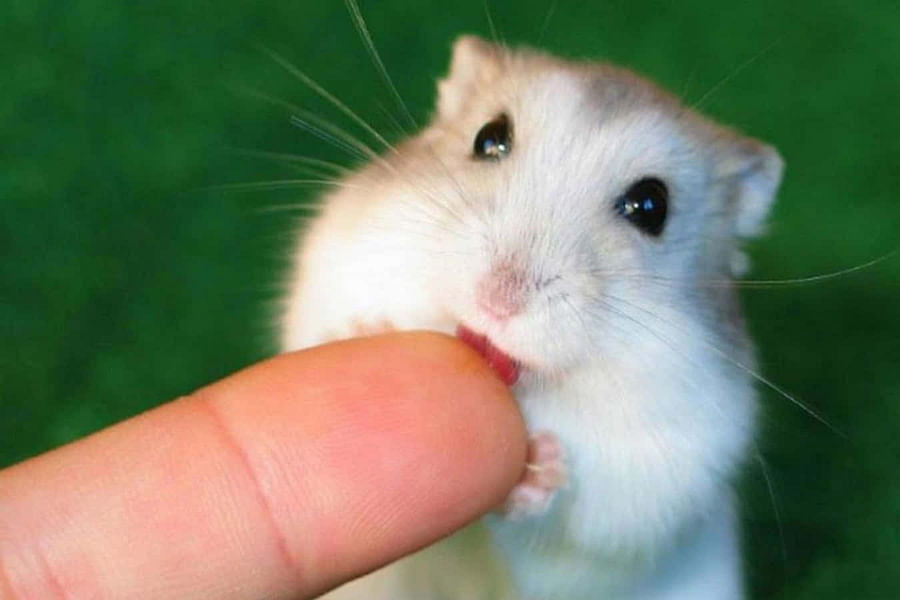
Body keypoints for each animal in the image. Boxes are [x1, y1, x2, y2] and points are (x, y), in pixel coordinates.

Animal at [280, 35, 783, 600]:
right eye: (489, 138)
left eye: (652, 206)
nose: (498, 299)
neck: (528, 387)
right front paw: (367, 331)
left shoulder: (656, 484)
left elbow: (570, 529)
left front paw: (541, 465)